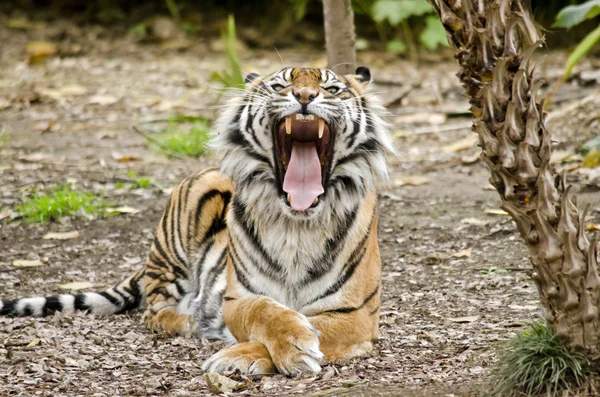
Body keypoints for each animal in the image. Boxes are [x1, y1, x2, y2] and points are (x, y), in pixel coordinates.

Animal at [0, 67, 394, 374]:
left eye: (332, 89)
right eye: (279, 85)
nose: (305, 96)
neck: (295, 224)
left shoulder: (354, 316)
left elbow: (313, 325)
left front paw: (248, 355)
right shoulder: (239, 298)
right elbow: (266, 312)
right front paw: (286, 345)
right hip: (175, 248)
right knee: (154, 311)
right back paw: (191, 321)